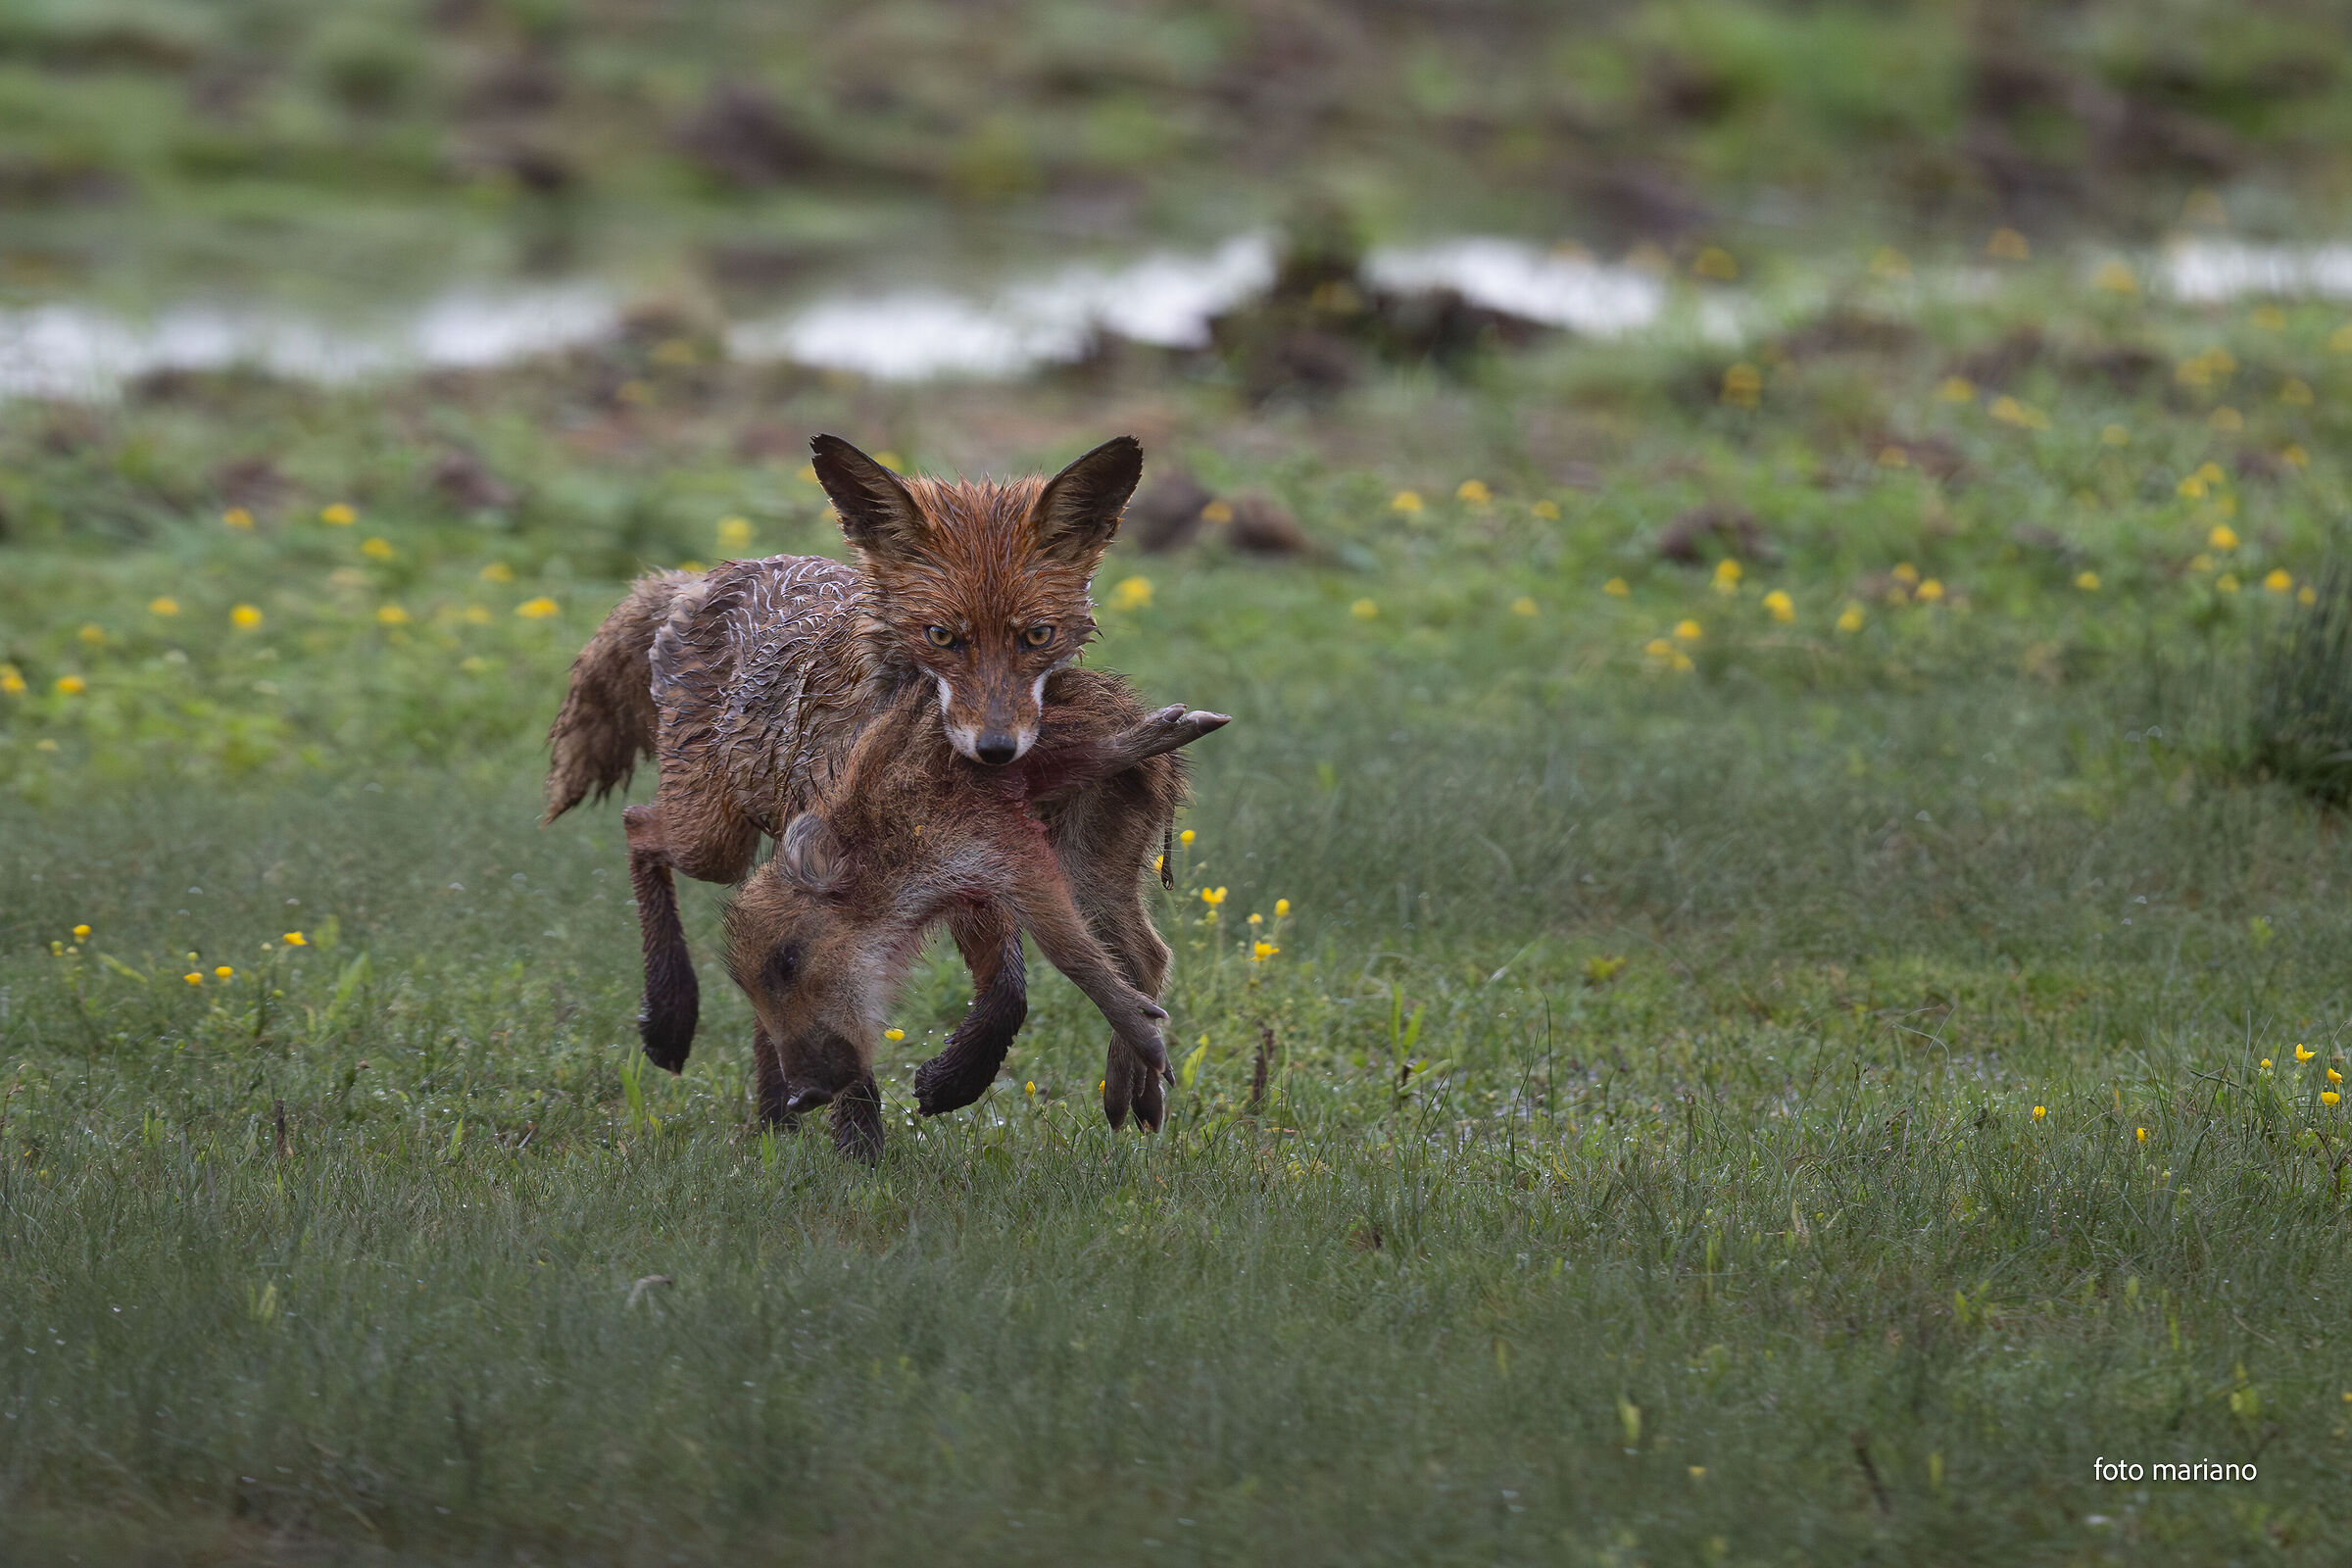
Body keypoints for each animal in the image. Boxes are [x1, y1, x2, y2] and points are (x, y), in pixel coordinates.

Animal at [541, 434, 1160, 1091]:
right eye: (940, 636)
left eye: (1038, 636)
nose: (996, 749)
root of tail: (705, 578)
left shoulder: (961, 861)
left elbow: (1008, 989)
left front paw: (960, 1074)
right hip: (712, 840)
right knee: (638, 824)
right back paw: (671, 1014)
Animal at [726, 668, 1225, 1160]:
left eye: (788, 960)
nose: (802, 1096)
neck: (883, 846)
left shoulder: (1003, 852)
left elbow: (1066, 951)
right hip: (1101, 857)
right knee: (1148, 952)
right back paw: (1136, 1110)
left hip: (1085, 847)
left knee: (1139, 948)